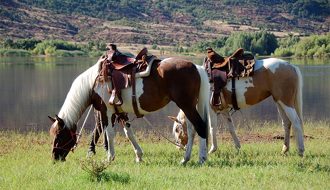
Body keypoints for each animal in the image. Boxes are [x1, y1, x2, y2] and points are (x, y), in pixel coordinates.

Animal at [47, 54, 210, 164]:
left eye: (59, 136)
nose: (54, 158)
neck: (94, 81)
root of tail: (196, 67)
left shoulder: (107, 112)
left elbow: (109, 134)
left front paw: (109, 158)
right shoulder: (121, 112)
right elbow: (128, 132)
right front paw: (139, 156)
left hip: (186, 106)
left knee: (200, 126)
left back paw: (201, 158)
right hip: (188, 107)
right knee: (191, 130)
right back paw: (186, 159)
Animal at [171, 57, 306, 157]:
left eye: (177, 129)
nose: (178, 148)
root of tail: (291, 66)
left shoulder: (211, 109)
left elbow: (212, 128)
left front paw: (212, 149)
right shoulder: (224, 110)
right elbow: (231, 128)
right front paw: (237, 147)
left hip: (286, 102)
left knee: (296, 122)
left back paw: (301, 150)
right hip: (279, 101)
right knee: (287, 123)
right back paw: (285, 149)